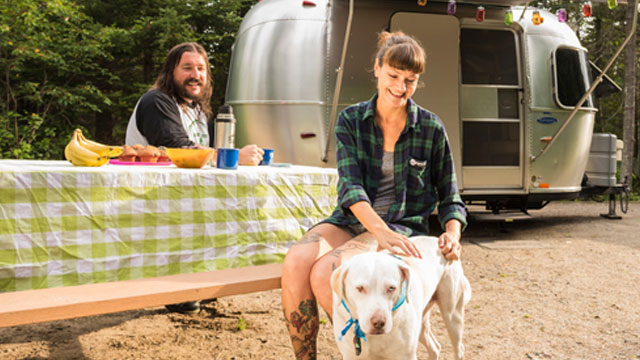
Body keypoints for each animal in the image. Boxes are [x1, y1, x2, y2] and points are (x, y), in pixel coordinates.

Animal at [330, 235, 470, 358]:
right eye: (360, 288)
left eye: (391, 288)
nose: (379, 323)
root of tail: (437, 239)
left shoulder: (405, 355)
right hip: (422, 323)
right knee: (435, 348)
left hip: (452, 317)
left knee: (459, 348)